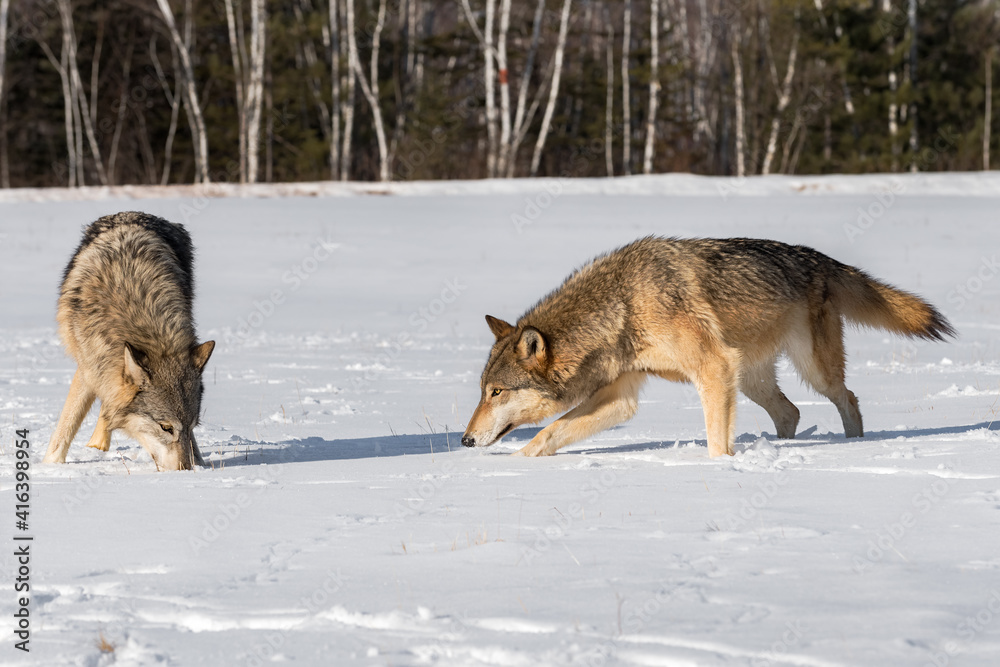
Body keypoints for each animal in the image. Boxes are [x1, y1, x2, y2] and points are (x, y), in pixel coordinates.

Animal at [42, 212, 215, 471]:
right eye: (165, 427)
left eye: (193, 426)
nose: (185, 471)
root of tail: (133, 213)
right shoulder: (90, 364)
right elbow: (68, 423)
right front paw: (49, 466)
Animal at [462, 237, 954, 458]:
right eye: (483, 392)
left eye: (496, 393)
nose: (465, 440)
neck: (623, 305)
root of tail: (820, 259)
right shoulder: (622, 396)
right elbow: (548, 433)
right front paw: (514, 466)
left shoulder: (713, 368)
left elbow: (717, 442)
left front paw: (720, 471)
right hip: (753, 380)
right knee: (791, 412)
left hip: (811, 372)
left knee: (847, 398)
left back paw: (856, 446)